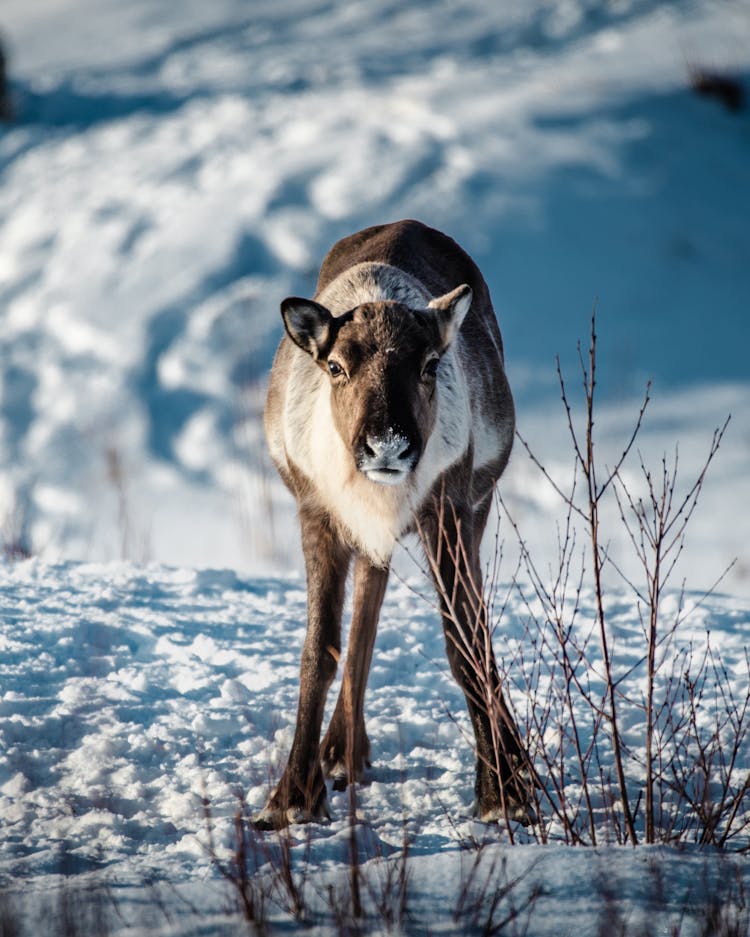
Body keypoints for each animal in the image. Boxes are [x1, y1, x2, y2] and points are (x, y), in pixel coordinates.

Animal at [262, 219, 532, 828]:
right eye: (336, 366)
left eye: (430, 364)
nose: (388, 446)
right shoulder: (318, 513)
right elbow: (319, 649)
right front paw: (291, 796)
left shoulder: (448, 508)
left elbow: (465, 643)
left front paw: (501, 793)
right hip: (369, 535)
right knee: (366, 608)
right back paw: (341, 753)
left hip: (476, 508)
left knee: (461, 624)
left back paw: (516, 763)